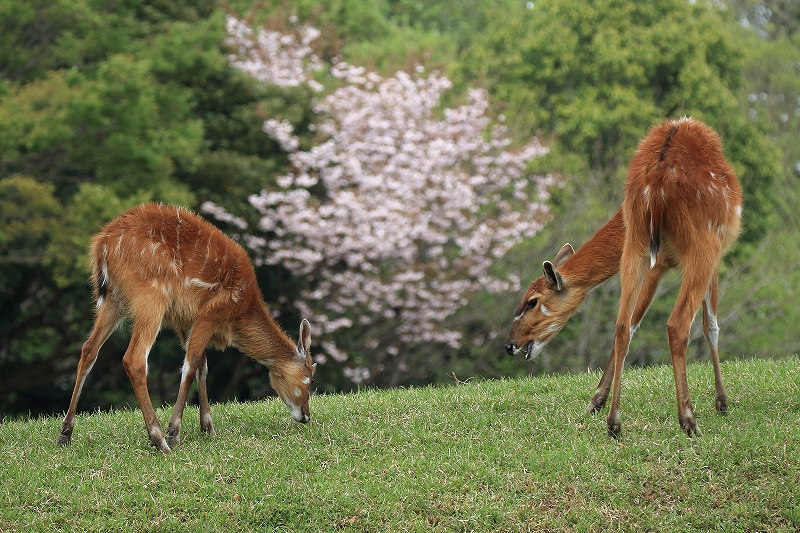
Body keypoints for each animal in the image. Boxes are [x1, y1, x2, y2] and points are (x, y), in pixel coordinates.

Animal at [57, 204, 316, 454]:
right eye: (309, 380)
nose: (305, 416)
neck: (241, 310)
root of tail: (103, 245)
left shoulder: (184, 321)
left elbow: (202, 364)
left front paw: (207, 427)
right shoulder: (209, 312)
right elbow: (191, 364)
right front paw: (175, 432)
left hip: (113, 300)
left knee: (89, 348)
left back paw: (65, 434)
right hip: (152, 295)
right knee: (134, 358)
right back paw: (160, 440)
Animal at [506, 117, 744, 436]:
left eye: (532, 300)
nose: (509, 345)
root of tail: (656, 184)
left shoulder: (656, 262)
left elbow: (631, 323)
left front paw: (595, 402)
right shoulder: (705, 255)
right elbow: (712, 325)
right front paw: (722, 403)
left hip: (636, 248)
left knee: (621, 324)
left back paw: (614, 422)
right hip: (702, 246)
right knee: (677, 324)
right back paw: (689, 420)